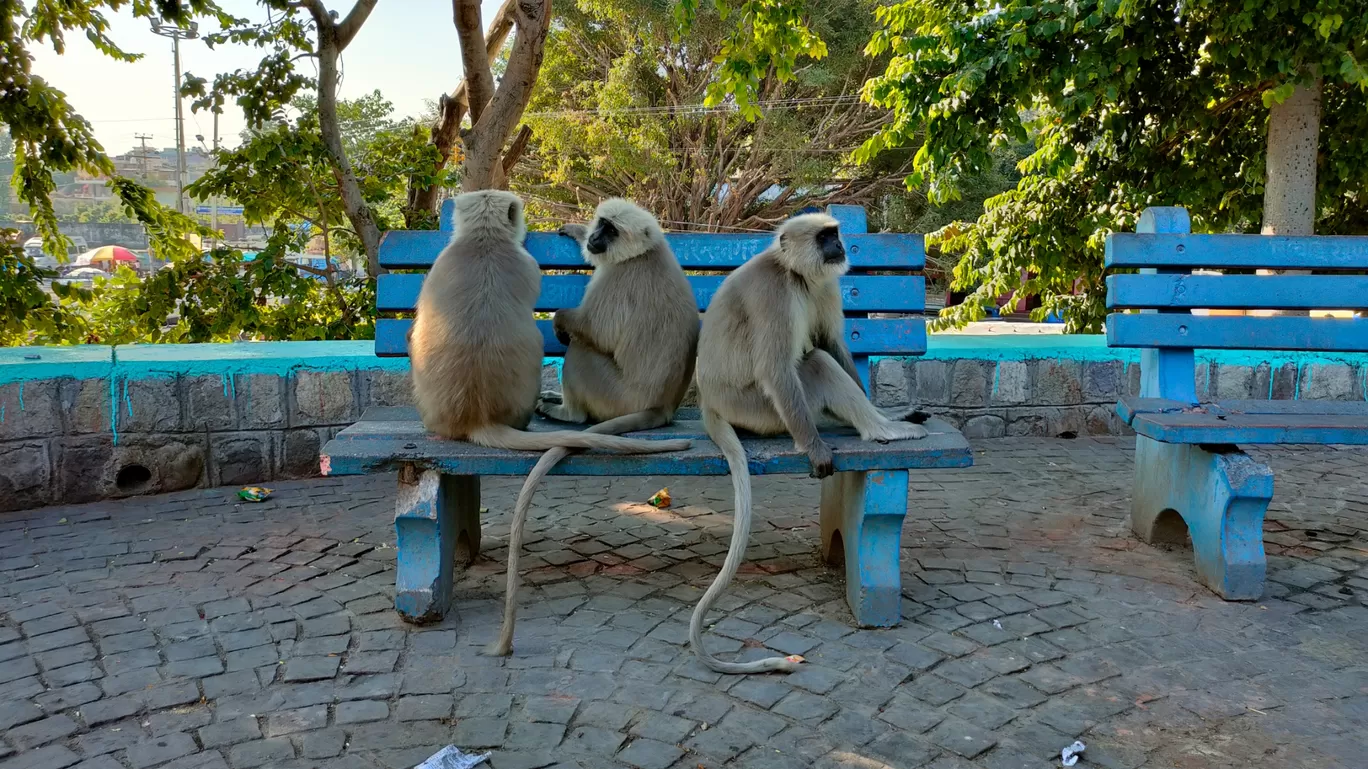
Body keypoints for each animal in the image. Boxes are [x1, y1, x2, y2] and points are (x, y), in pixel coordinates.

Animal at [487, 197, 700, 651]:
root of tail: (661, 407)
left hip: (612, 394)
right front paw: (574, 231)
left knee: (582, 350)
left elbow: (591, 330)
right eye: (601, 224)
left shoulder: (618, 279)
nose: (597, 237)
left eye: (612, 231)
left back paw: (569, 412)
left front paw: (561, 321)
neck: (644, 253)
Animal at [689, 213, 924, 670]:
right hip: (758, 409)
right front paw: (816, 448)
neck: (797, 277)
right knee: (812, 363)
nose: (839, 246)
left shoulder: (825, 284)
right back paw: (880, 430)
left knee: (819, 353)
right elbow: (779, 368)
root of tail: (710, 400)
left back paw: (887, 420)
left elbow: (833, 342)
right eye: (825, 237)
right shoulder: (773, 293)